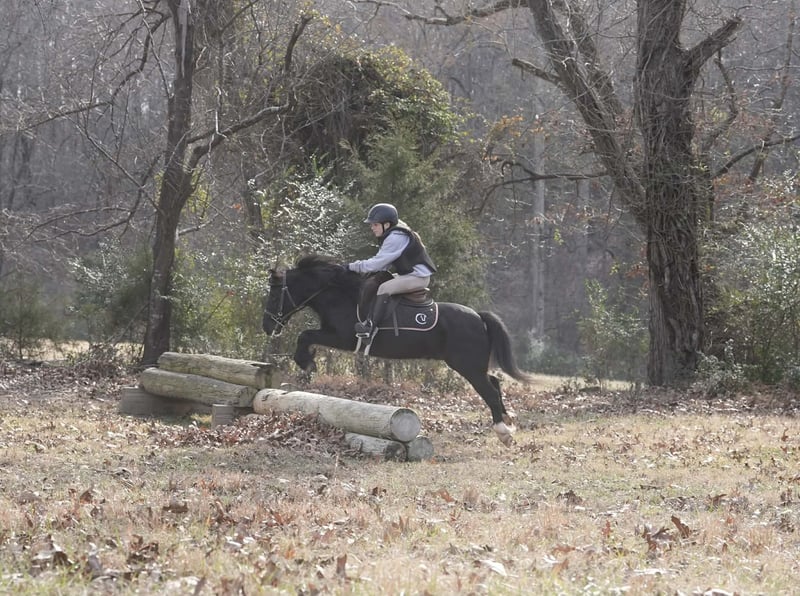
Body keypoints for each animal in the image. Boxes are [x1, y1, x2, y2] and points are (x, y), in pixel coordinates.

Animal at [261, 254, 531, 445]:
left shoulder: (343, 337)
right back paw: (508, 420)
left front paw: (306, 361)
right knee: (495, 382)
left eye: (274, 297)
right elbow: (307, 336)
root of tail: (478, 316)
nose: (266, 327)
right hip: (472, 365)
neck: (339, 294)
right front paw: (308, 361)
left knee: (490, 391)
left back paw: (503, 432)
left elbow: (305, 335)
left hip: (467, 365)